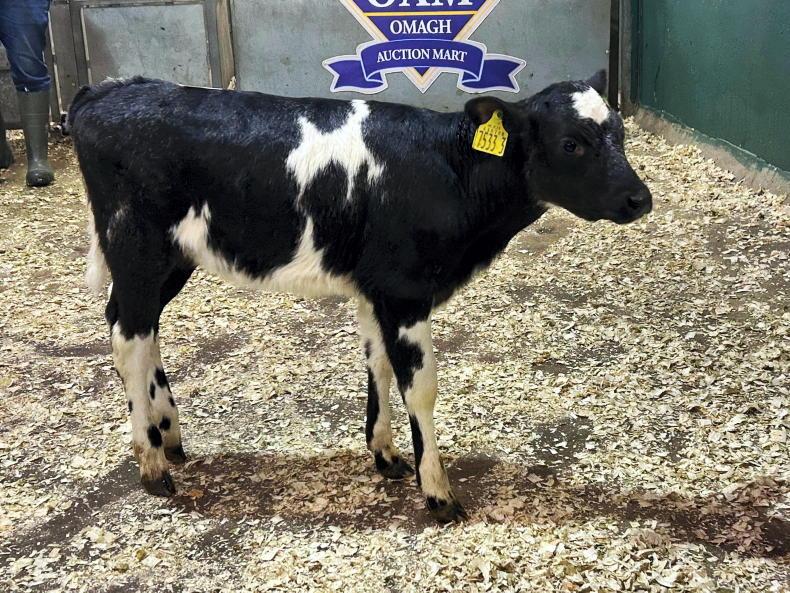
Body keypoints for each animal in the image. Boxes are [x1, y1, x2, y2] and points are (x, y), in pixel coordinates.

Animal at [68, 70, 651, 523]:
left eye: (620, 134)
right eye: (572, 143)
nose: (640, 199)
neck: (449, 170)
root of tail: (110, 89)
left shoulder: (376, 290)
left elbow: (379, 365)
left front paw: (386, 456)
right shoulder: (406, 292)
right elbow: (421, 387)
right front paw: (437, 492)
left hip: (171, 260)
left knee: (136, 326)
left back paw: (168, 434)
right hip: (137, 246)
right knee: (129, 337)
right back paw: (152, 465)